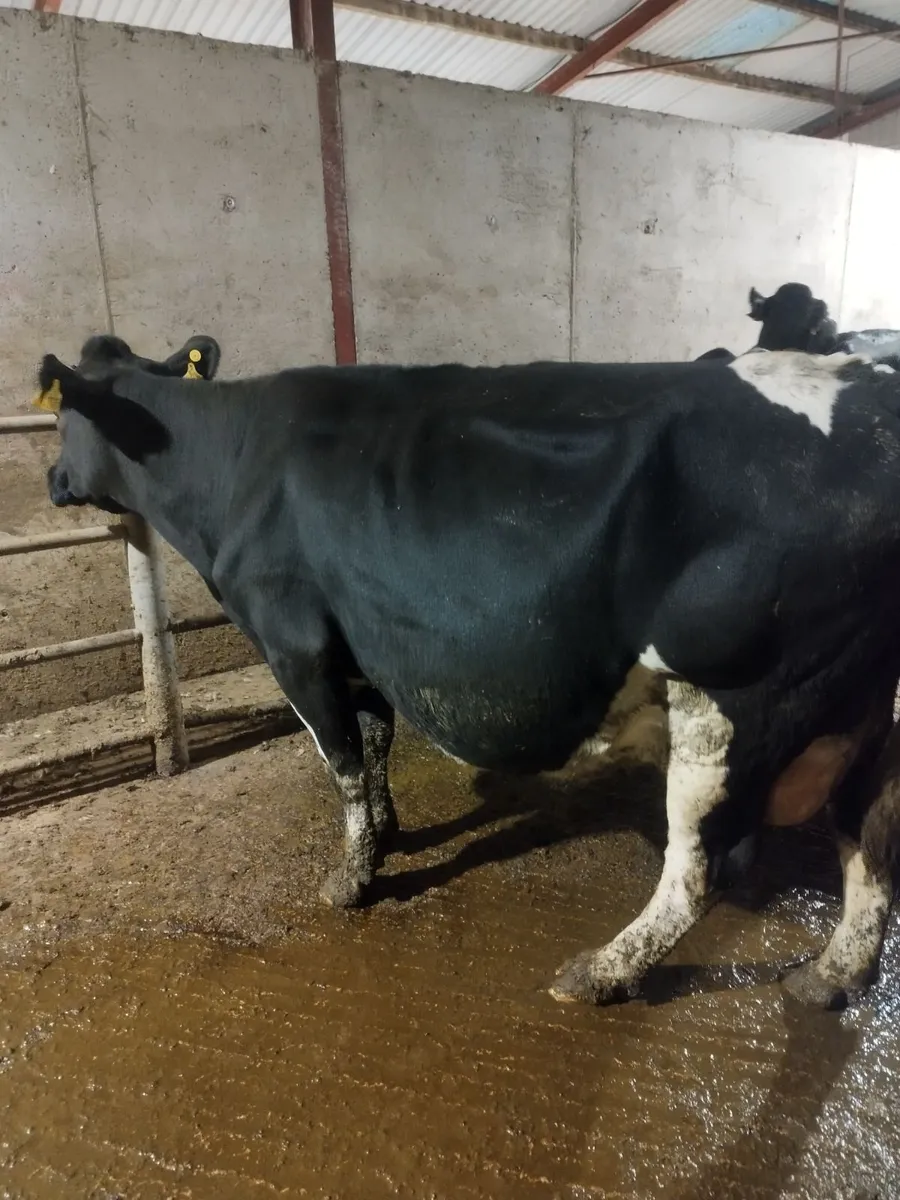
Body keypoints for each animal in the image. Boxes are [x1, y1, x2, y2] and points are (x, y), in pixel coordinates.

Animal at [38, 337, 900, 1011]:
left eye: (59, 413)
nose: (51, 481)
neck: (235, 466)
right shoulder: (363, 643)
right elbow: (376, 742)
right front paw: (388, 833)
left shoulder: (295, 643)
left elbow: (342, 762)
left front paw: (350, 880)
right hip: (870, 707)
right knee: (871, 830)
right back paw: (834, 974)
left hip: (736, 700)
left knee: (699, 867)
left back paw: (601, 973)